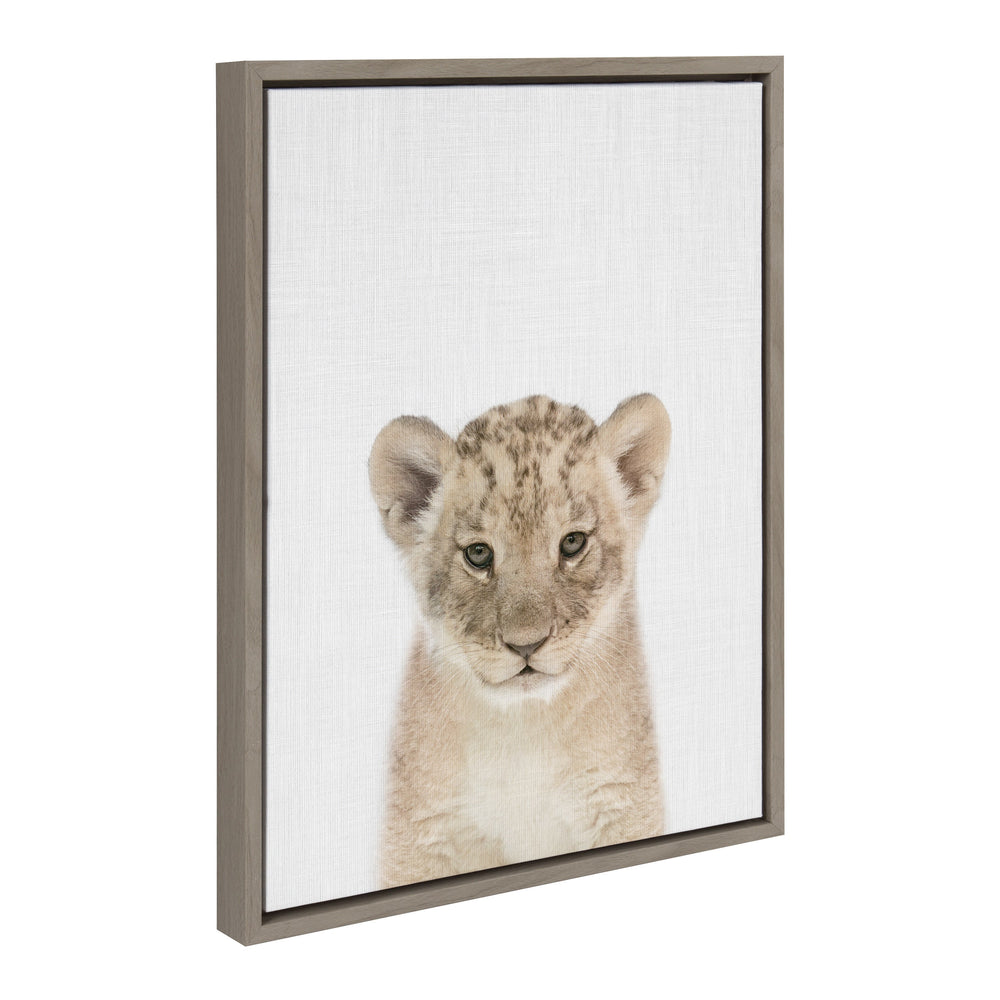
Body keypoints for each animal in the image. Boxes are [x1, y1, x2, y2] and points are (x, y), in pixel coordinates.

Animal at [369, 394, 670, 888]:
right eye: (478, 553)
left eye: (572, 543)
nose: (526, 645)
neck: (524, 728)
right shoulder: (421, 837)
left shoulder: (623, 805)